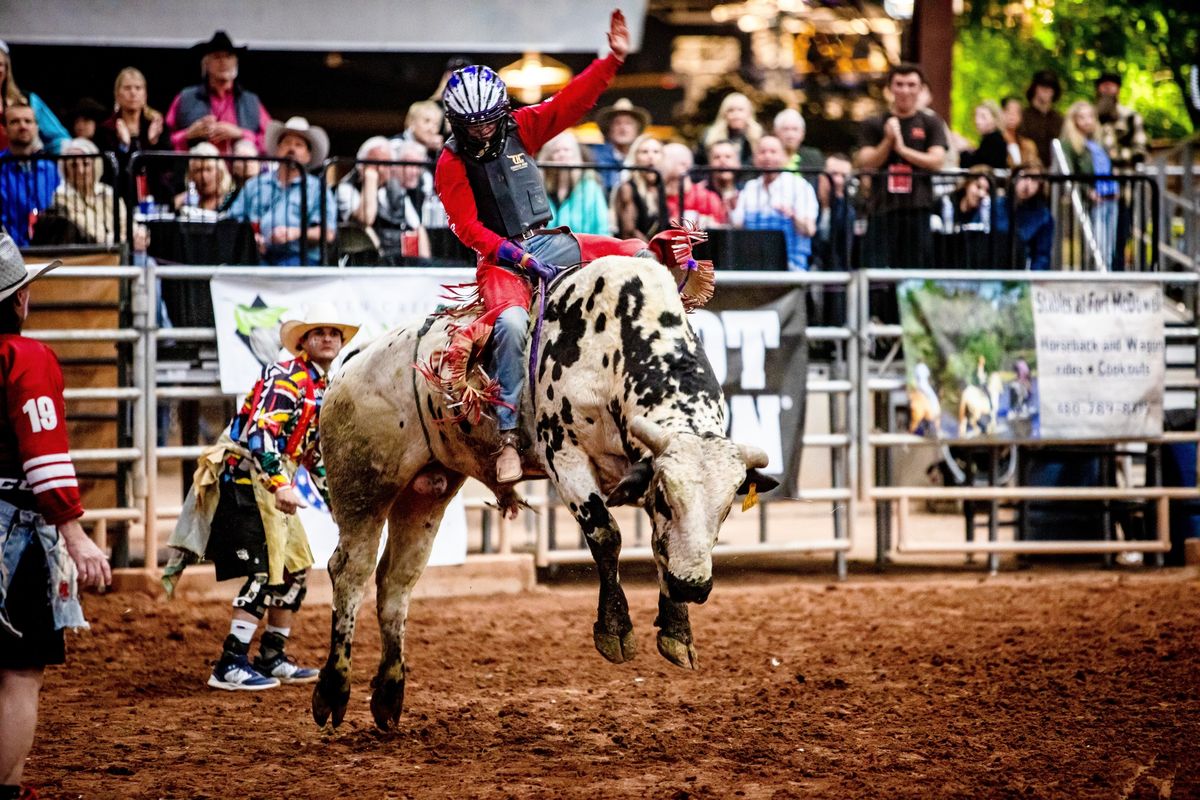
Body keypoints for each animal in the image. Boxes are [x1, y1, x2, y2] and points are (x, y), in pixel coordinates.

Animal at [312, 253, 777, 729]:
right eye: (667, 497)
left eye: (727, 506)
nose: (693, 586)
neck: (615, 344)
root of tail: (354, 362)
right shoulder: (565, 455)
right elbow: (606, 535)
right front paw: (615, 630)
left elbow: (661, 545)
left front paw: (676, 631)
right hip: (363, 486)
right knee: (350, 570)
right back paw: (333, 690)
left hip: (425, 493)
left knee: (396, 580)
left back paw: (389, 695)